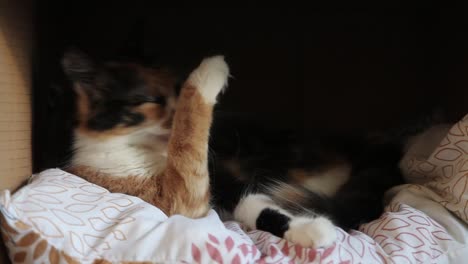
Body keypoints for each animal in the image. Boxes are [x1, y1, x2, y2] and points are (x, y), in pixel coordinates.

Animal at [55, 49, 432, 248]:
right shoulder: (182, 197)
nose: (172, 113)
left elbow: (251, 201)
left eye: (176, 90)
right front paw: (316, 230)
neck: (144, 149)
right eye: (149, 99)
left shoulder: (223, 181)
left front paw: (312, 229)